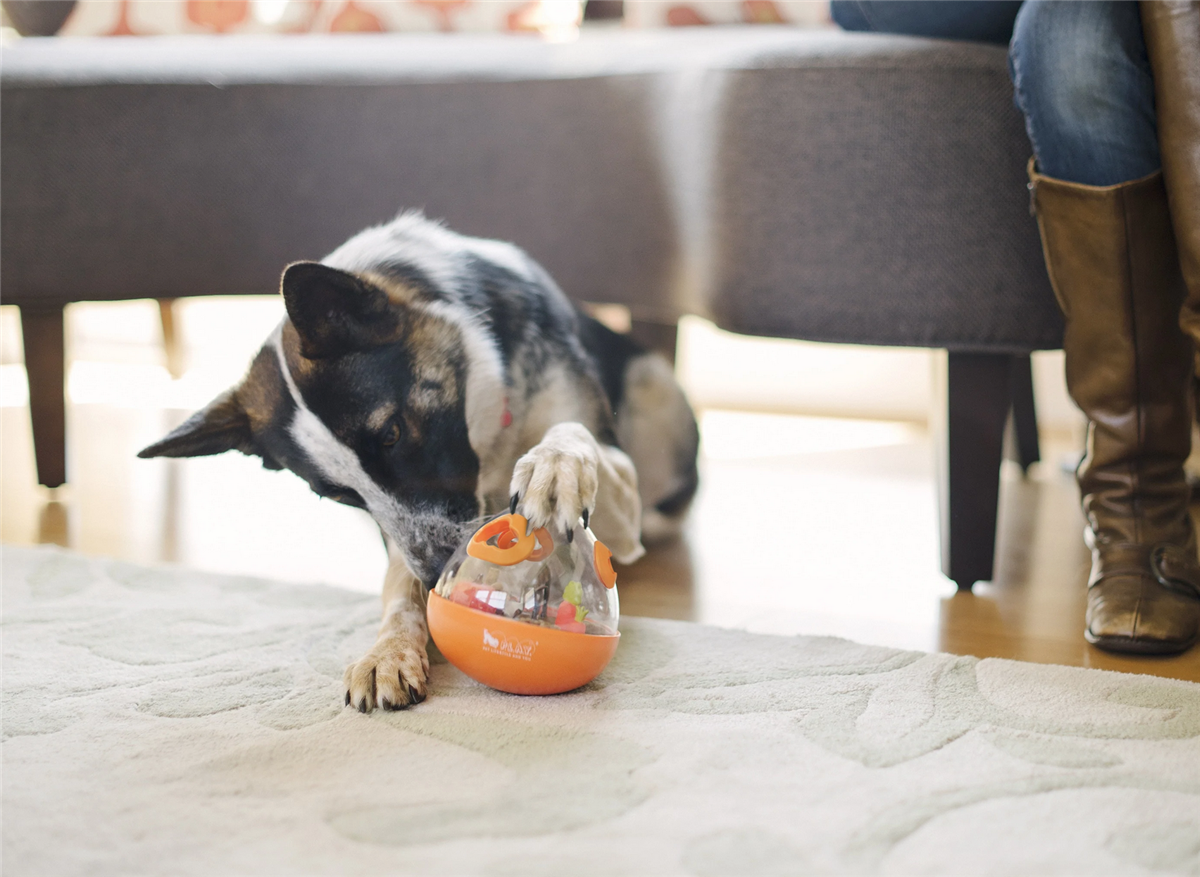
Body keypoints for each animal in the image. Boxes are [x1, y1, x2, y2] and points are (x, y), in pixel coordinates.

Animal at [138, 212, 700, 715]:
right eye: (339, 494)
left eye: (391, 432)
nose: (437, 573)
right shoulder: (398, 538)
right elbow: (397, 590)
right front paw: (387, 651)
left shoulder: (616, 482)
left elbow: (570, 436)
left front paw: (552, 468)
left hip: (656, 394)